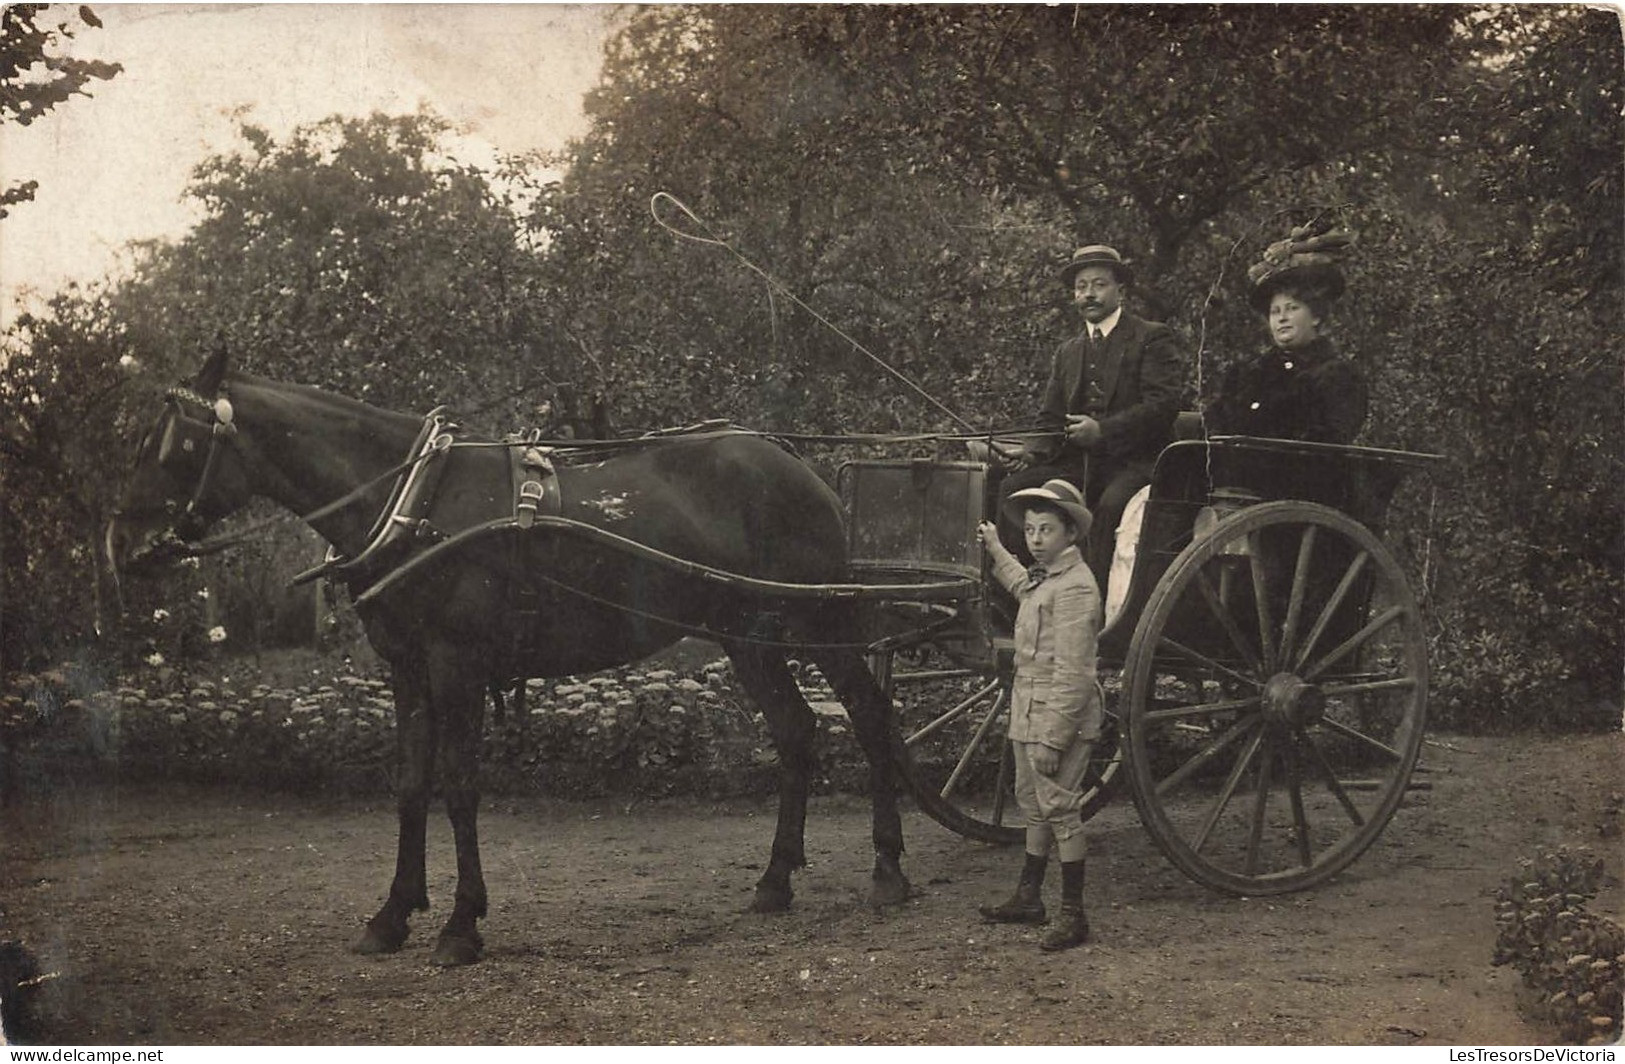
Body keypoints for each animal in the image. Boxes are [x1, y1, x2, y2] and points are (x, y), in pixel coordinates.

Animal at [103, 347, 916, 968]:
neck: (414, 500)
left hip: (818, 618)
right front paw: (391, 914)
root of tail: (789, 459)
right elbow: (410, 785)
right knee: (795, 731)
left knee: (870, 716)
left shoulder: (456, 664)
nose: (118, 544)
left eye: (175, 445)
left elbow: (460, 787)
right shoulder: (405, 669)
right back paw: (776, 880)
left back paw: (887, 868)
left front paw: (461, 924)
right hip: (747, 634)